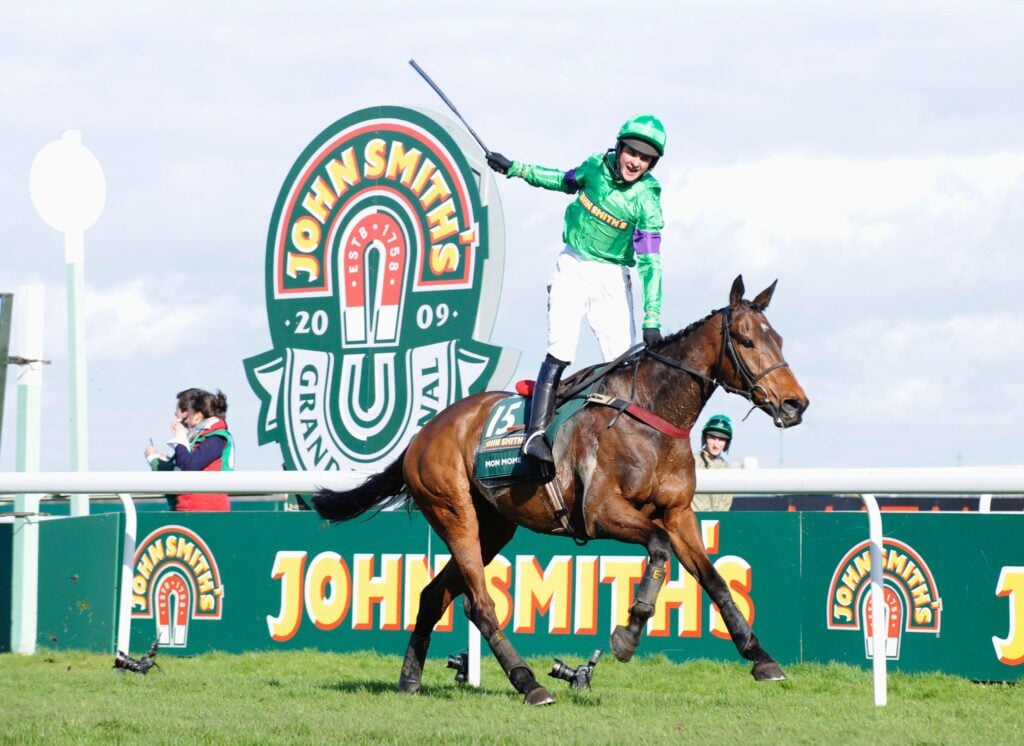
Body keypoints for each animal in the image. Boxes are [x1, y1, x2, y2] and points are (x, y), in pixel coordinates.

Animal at [315, 274, 811, 704]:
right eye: (746, 340)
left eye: (779, 340)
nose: (795, 404)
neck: (650, 414)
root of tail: (422, 434)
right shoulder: (602, 512)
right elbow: (658, 548)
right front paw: (628, 632)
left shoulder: (678, 513)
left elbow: (714, 580)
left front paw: (760, 657)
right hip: (453, 513)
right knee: (479, 603)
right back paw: (529, 683)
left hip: (493, 528)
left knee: (433, 594)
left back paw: (410, 680)